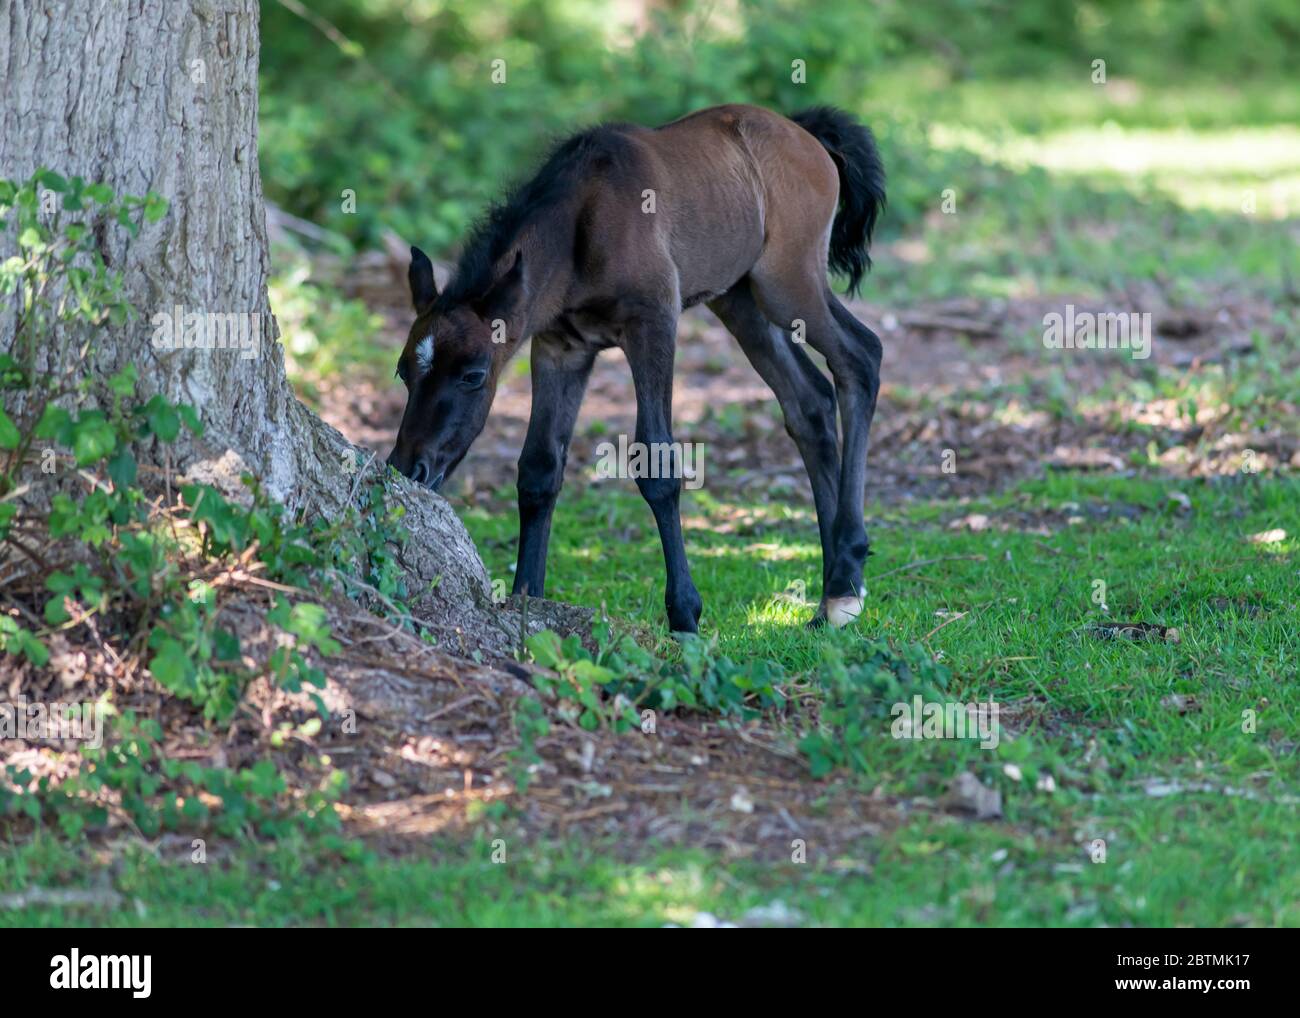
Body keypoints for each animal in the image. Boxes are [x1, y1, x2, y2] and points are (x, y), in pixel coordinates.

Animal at [386, 104, 885, 633]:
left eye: (474, 375)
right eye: (403, 373)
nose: (409, 467)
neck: (581, 225)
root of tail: (804, 135)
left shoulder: (654, 323)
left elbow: (658, 462)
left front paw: (685, 613)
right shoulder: (560, 347)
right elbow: (539, 468)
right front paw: (527, 598)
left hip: (786, 283)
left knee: (861, 356)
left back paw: (845, 579)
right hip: (741, 300)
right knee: (810, 401)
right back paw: (832, 594)